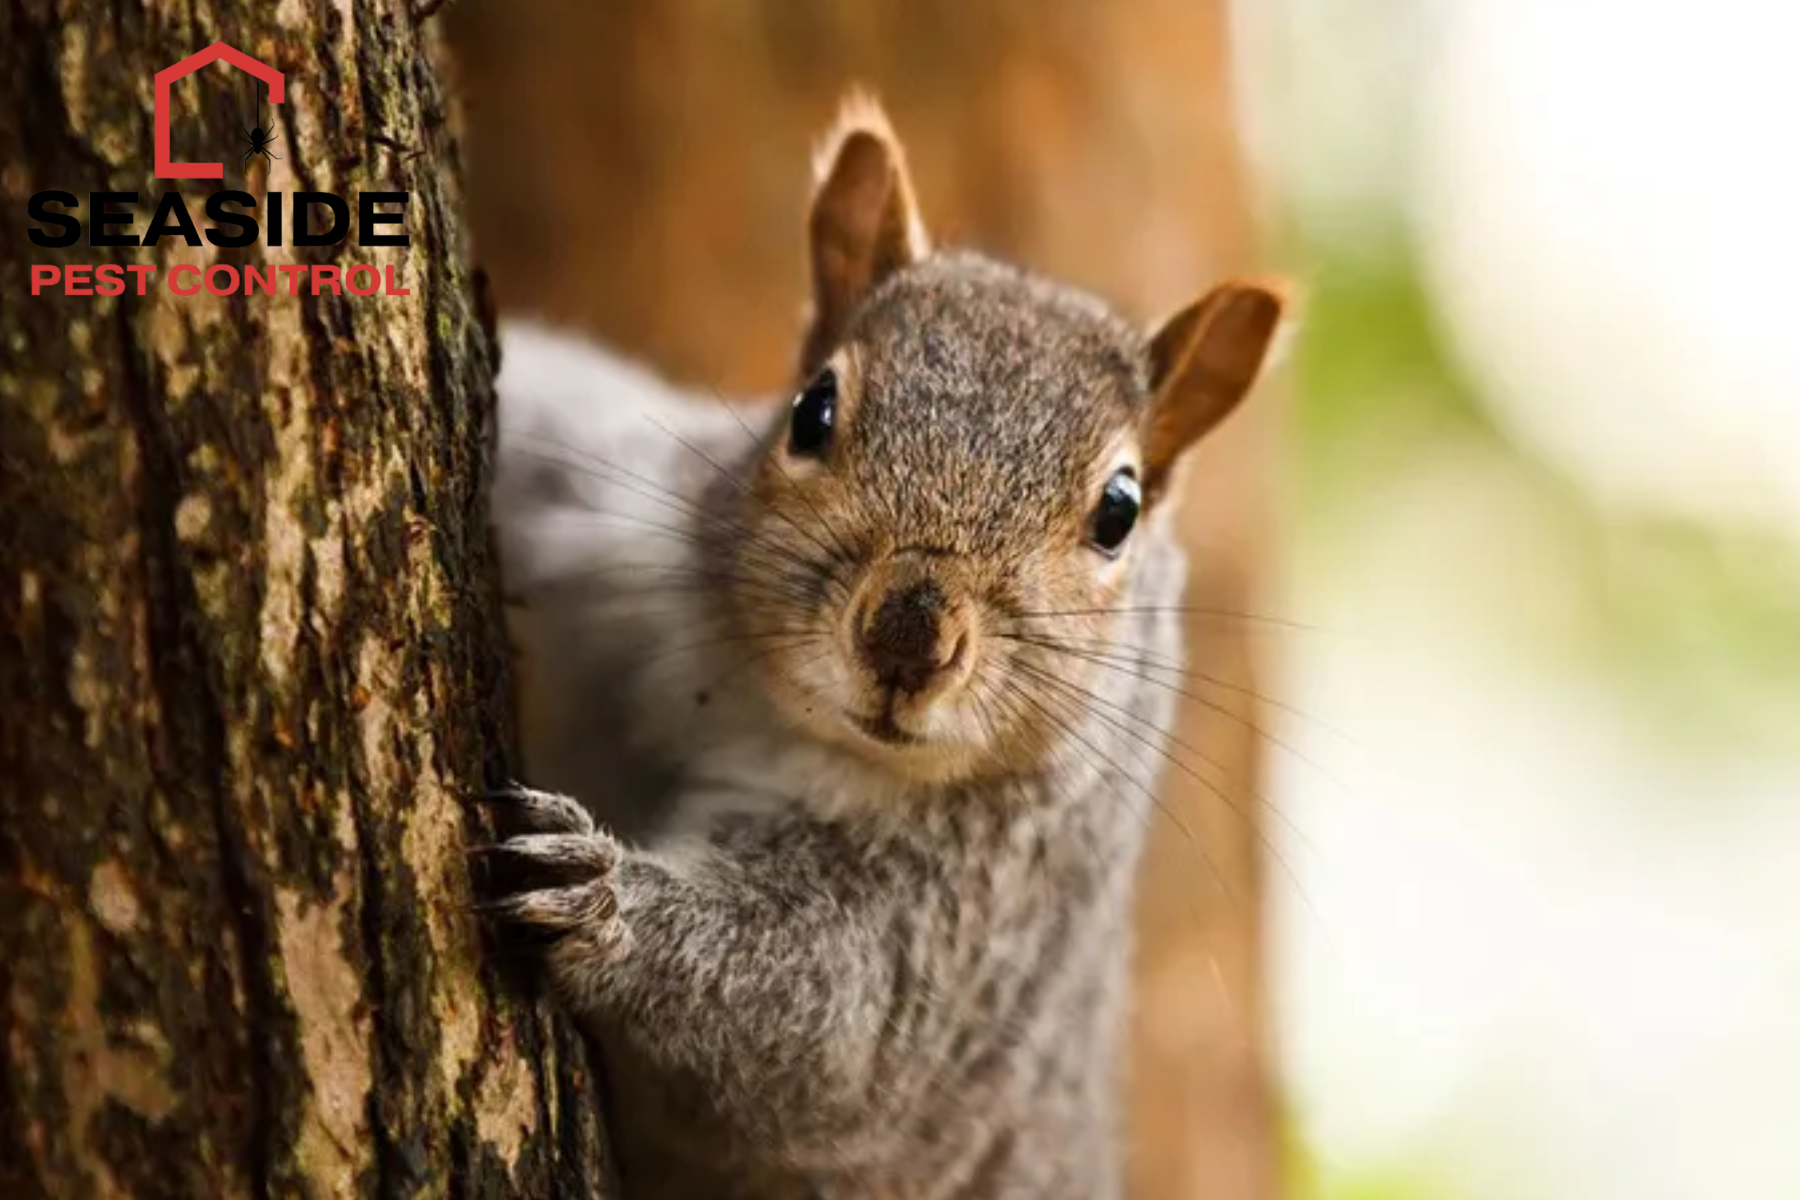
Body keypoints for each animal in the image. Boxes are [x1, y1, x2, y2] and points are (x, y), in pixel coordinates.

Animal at [480, 93, 1286, 1200]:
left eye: (1119, 511)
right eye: (812, 409)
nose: (909, 638)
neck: (761, 704)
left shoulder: (971, 919)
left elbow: (828, 1024)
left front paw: (597, 900)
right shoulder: (608, 520)